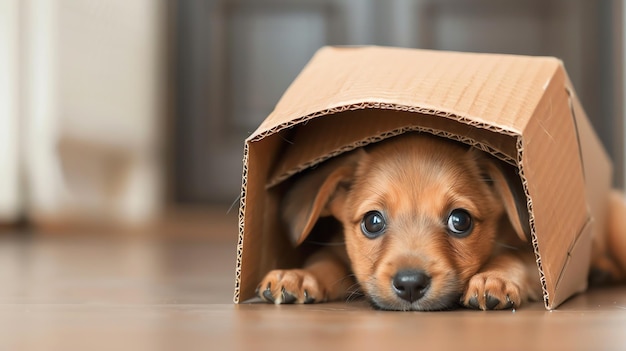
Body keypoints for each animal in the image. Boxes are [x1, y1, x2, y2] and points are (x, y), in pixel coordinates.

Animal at [255, 133, 624, 310]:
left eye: (460, 220)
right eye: (372, 222)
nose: (410, 284)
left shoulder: (533, 255)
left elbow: (511, 257)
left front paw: (492, 279)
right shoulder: (337, 252)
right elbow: (324, 263)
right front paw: (296, 276)